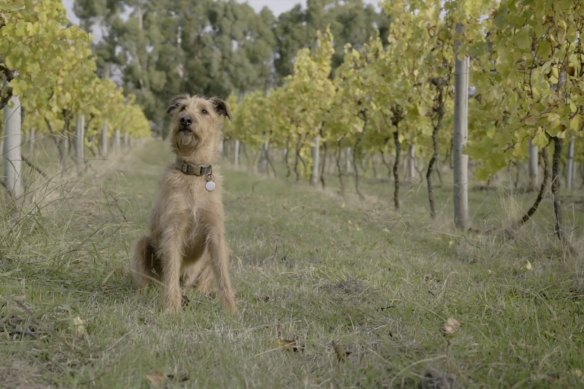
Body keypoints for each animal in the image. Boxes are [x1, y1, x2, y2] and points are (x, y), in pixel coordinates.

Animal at [132, 94, 237, 312]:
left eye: (204, 111)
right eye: (182, 108)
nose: (186, 120)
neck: (194, 173)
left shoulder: (215, 232)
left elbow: (223, 276)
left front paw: (231, 310)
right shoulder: (173, 229)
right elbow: (171, 272)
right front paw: (172, 308)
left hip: (221, 253)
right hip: (142, 244)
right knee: (147, 281)